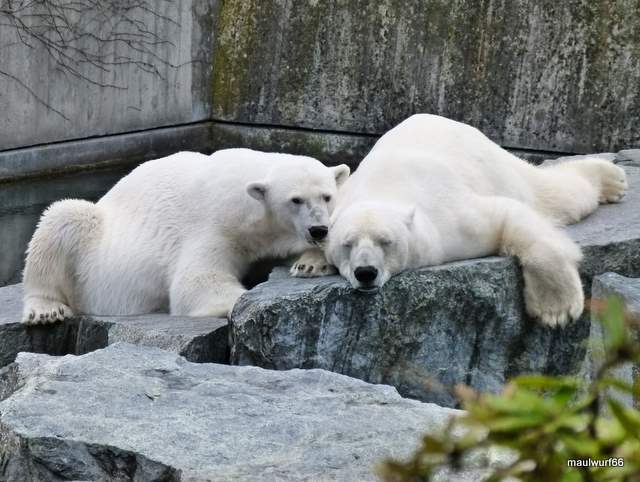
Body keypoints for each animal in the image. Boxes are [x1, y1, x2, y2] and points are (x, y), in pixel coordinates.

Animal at [22, 150, 350, 324]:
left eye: (327, 196)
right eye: (295, 200)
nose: (318, 230)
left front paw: (311, 264)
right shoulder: (213, 227)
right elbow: (196, 283)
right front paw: (245, 303)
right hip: (92, 251)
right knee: (63, 217)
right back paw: (46, 309)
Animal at [294, 114, 632, 326]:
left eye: (385, 241)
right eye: (347, 244)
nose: (366, 272)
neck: (382, 190)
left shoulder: (449, 223)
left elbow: (508, 216)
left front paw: (556, 310)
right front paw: (309, 262)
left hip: (495, 165)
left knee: (554, 194)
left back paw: (611, 179)